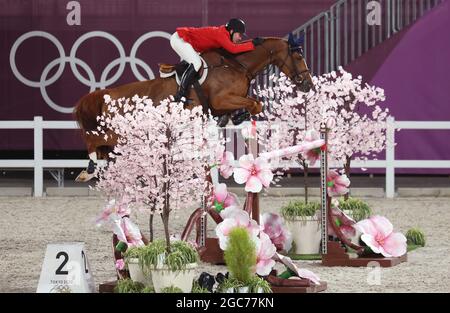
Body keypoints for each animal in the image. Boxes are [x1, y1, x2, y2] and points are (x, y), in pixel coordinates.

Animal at [74, 34, 312, 180]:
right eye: (298, 55)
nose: (308, 84)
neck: (237, 65)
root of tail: (103, 96)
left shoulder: (224, 103)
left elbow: (252, 105)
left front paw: (234, 118)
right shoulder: (221, 99)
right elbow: (255, 104)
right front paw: (240, 115)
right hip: (120, 133)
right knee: (93, 141)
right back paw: (88, 170)